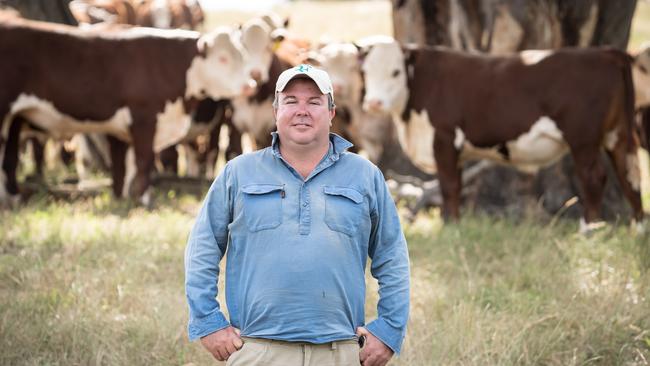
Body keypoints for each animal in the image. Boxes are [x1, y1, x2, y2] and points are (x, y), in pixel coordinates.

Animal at [0, 16, 253, 206]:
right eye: (222, 58)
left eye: (242, 55)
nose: (249, 85)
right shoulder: (144, 119)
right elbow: (143, 161)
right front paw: (144, 199)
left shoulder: (122, 129)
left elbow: (124, 166)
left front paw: (124, 197)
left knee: (9, 158)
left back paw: (13, 197)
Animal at [362, 38, 640, 229]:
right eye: (365, 72)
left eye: (395, 72)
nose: (373, 103)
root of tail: (607, 52)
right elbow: (455, 185)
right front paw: (454, 222)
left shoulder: (444, 138)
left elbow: (448, 186)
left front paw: (450, 225)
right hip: (618, 135)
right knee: (629, 174)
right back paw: (637, 227)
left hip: (583, 139)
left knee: (594, 177)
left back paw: (588, 228)